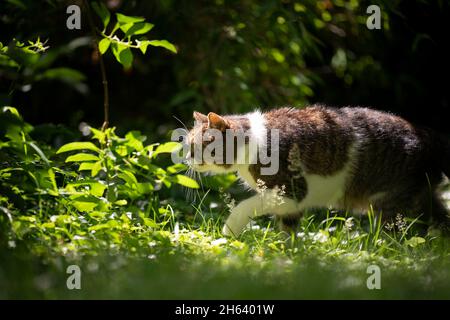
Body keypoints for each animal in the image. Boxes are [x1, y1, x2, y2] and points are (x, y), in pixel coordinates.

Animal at [185, 104, 450, 235]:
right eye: (187, 145)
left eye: (197, 146)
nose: (187, 158)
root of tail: (430, 136)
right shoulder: (291, 204)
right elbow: (288, 229)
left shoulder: (291, 191)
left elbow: (244, 206)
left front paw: (229, 231)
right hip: (423, 197)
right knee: (440, 221)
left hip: (390, 202)